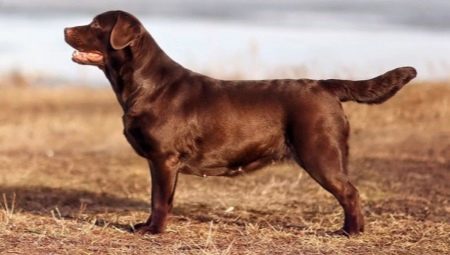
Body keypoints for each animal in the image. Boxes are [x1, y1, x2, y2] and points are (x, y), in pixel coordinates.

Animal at [63, 10, 414, 236]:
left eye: (95, 24)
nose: (65, 29)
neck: (145, 83)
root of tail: (325, 85)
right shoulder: (161, 163)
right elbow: (160, 199)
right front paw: (148, 226)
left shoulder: (164, 159)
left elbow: (160, 200)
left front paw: (153, 231)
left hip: (320, 153)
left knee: (350, 193)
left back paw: (350, 232)